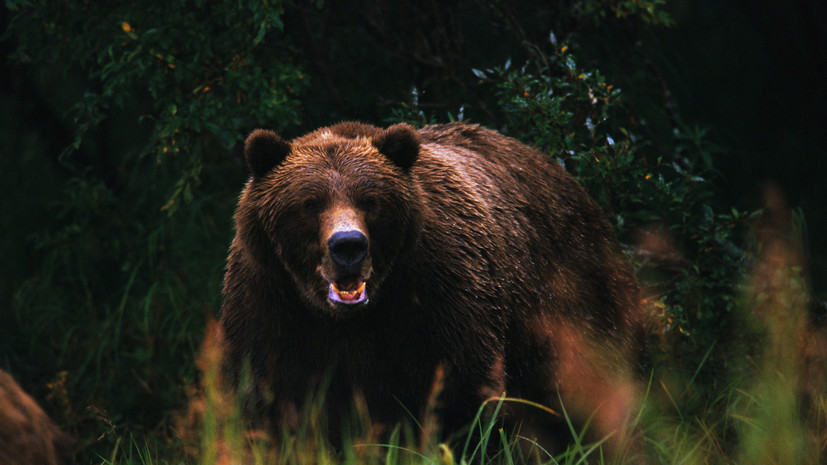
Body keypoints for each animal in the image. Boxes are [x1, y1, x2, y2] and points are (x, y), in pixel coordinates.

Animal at [219, 121, 644, 457]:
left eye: (370, 200)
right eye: (309, 203)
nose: (348, 246)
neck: (348, 319)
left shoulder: (439, 297)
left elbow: (459, 396)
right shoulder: (271, 304)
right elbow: (268, 400)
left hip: (573, 302)